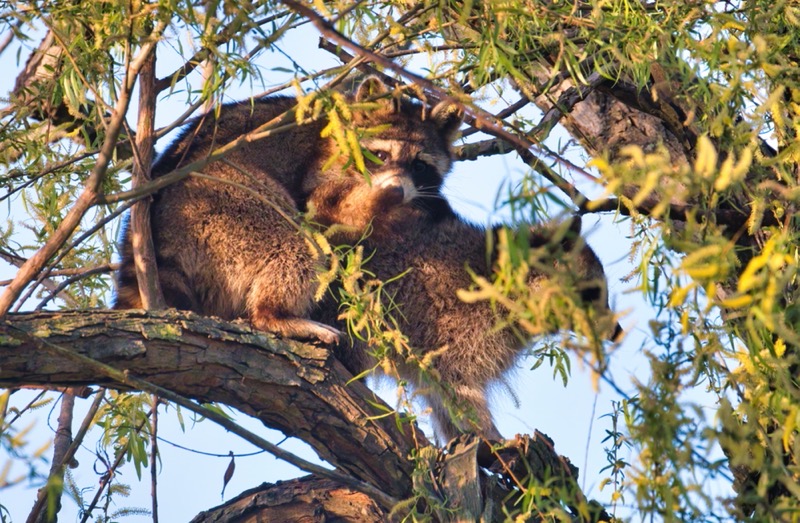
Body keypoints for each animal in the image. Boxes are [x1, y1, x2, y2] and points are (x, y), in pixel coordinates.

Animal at [113, 78, 462, 346]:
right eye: (381, 155)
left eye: (419, 166)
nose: (397, 190)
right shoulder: (322, 164)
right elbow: (325, 210)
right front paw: (381, 203)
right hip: (219, 201)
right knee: (295, 244)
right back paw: (275, 314)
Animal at [312, 178, 620, 440]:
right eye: (592, 292)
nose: (617, 331)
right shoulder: (453, 327)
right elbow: (456, 385)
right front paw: (489, 433)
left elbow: (439, 395)